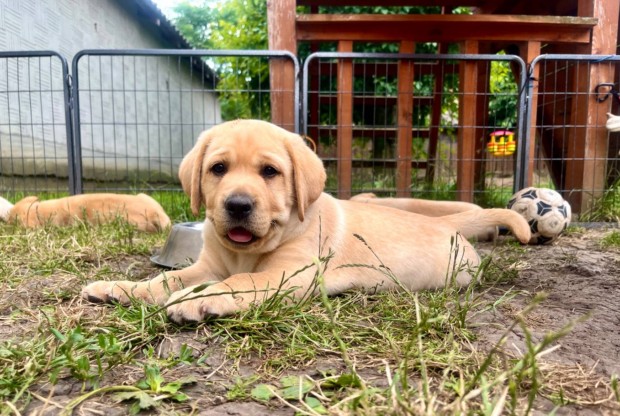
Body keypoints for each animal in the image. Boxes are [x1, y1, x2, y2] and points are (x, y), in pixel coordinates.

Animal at [80, 118, 532, 324]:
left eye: (270, 172)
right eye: (218, 169)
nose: (238, 205)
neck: (250, 251)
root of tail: (449, 225)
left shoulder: (285, 275)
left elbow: (239, 281)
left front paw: (195, 300)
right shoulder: (206, 266)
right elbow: (165, 279)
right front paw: (120, 288)